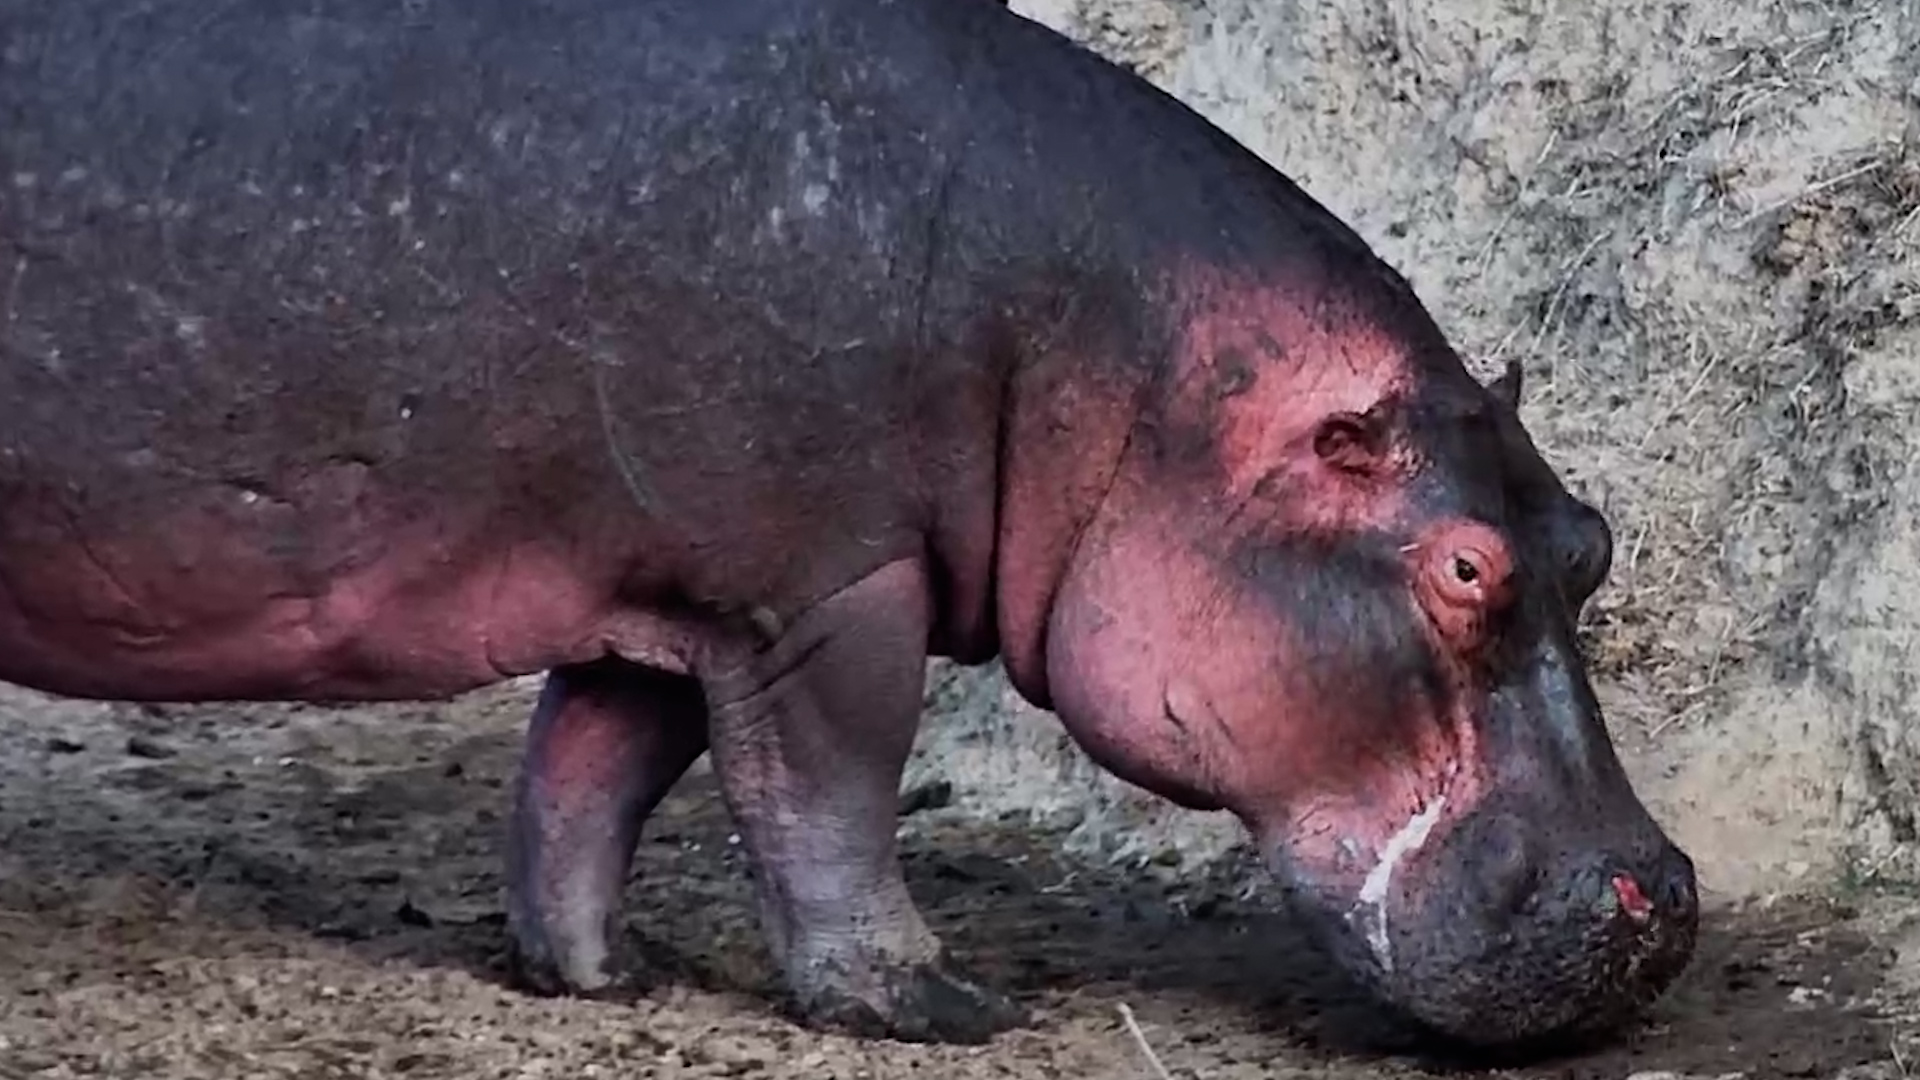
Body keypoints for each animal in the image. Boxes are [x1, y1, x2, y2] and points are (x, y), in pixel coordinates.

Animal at [0, 0, 1696, 1050]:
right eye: (1462, 568)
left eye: (1593, 538)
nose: (1664, 899)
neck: (1122, 358)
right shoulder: (828, 586)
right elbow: (830, 792)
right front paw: (939, 1008)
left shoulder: (674, 577)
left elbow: (591, 771)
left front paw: (604, 978)